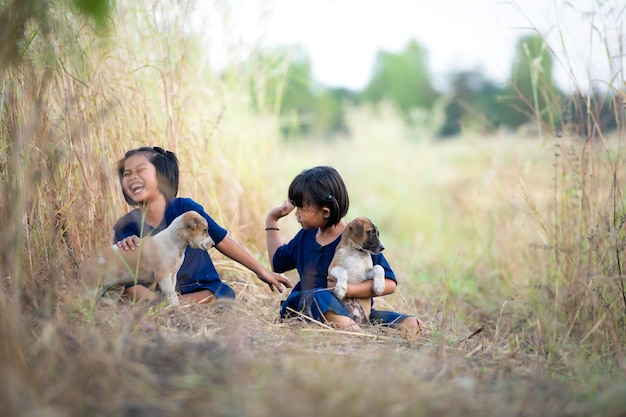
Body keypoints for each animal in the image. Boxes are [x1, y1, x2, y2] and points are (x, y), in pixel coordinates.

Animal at [77, 210, 214, 304]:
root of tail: (83, 265)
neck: (175, 243)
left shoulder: (172, 276)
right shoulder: (163, 276)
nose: (212, 244)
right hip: (91, 289)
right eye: (205, 230)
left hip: (114, 290)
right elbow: (173, 296)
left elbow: (171, 293)